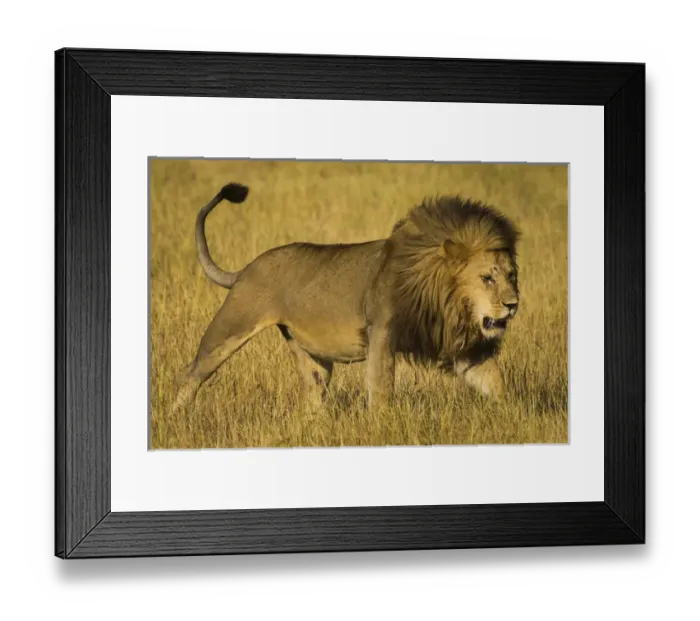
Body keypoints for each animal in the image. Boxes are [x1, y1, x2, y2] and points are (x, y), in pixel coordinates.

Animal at [171, 182, 520, 415]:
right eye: (486, 278)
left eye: (512, 276)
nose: (513, 305)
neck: (445, 301)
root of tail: (248, 267)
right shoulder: (381, 332)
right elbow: (381, 388)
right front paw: (382, 427)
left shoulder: (464, 349)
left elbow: (494, 381)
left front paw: (511, 419)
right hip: (231, 326)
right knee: (192, 372)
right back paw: (175, 418)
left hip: (312, 358)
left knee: (312, 397)